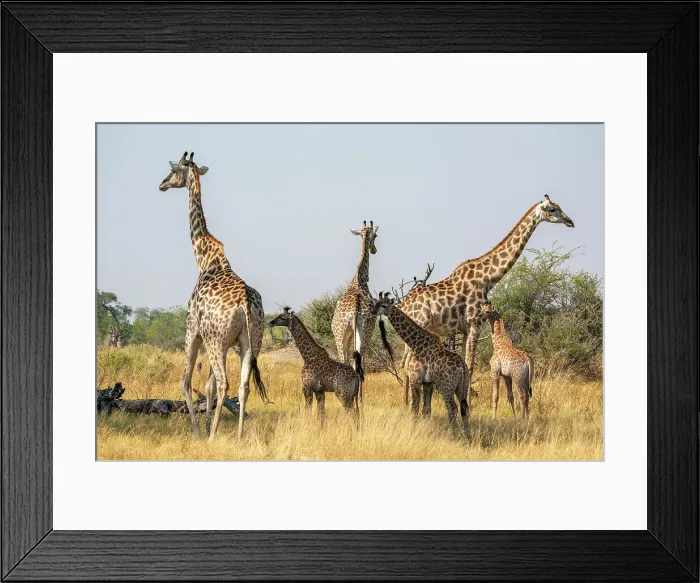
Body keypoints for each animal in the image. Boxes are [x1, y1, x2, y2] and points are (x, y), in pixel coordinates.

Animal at [159, 151, 271, 441]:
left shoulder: (193, 329)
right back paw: (239, 435)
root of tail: (245, 303)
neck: (204, 259)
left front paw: (200, 431)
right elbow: (206, 387)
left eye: (173, 171)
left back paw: (210, 437)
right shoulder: (224, 340)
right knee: (243, 385)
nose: (161, 184)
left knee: (222, 383)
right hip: (251, 340)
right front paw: (210, 425)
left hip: (214, 340)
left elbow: (187, 381)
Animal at [331, 220, 380, 404]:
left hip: (341, 334)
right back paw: (359, 399)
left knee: (346, 359)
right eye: (376, 235)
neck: (359, 281)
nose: (374, 249)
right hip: (364, 332)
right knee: (359, 360)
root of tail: (354, 310)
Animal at [372, 292, 470, 439]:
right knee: (465, 408)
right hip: (462, 386)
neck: (416, 344)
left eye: (384, 305)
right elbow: (426, 410)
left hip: (446, 386)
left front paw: (412, 432)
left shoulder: (415, 379)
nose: (372, 311)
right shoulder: (428, 383)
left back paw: (452, 437)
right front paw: (426, 431)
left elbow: (415, 408)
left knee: (452, 408)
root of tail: (462, 367)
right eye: (376, 303)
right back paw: (468, 438)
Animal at [399, 195, 573, 402]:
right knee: (407, 364)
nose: (570, 221)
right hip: (420, 324)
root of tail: (403, 304)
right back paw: (408, 402)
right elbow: (470, 365)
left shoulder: (465, 328)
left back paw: (406, 403)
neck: (487, 279)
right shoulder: (474, 322)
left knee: (404, 364)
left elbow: (466, 362)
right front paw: (468, 402)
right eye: (553, 209)